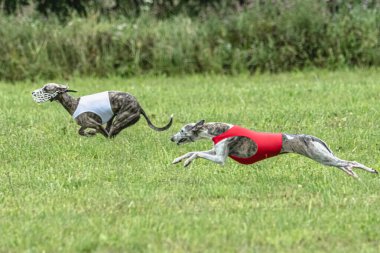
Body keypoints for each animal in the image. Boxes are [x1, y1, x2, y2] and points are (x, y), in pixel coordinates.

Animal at [171, 120, 378, 178]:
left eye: (181, 130)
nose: (171, 138)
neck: (217, 130)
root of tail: (313, 138)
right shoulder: (216, 152)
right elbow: (193, 152)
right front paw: (179, 160)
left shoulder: (220, 158)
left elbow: (197, 152)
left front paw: (186, 161)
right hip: (325, 158)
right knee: (345, 165)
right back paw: (355, 176)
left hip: (322, 156)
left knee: (351, 162)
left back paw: (371, 171)